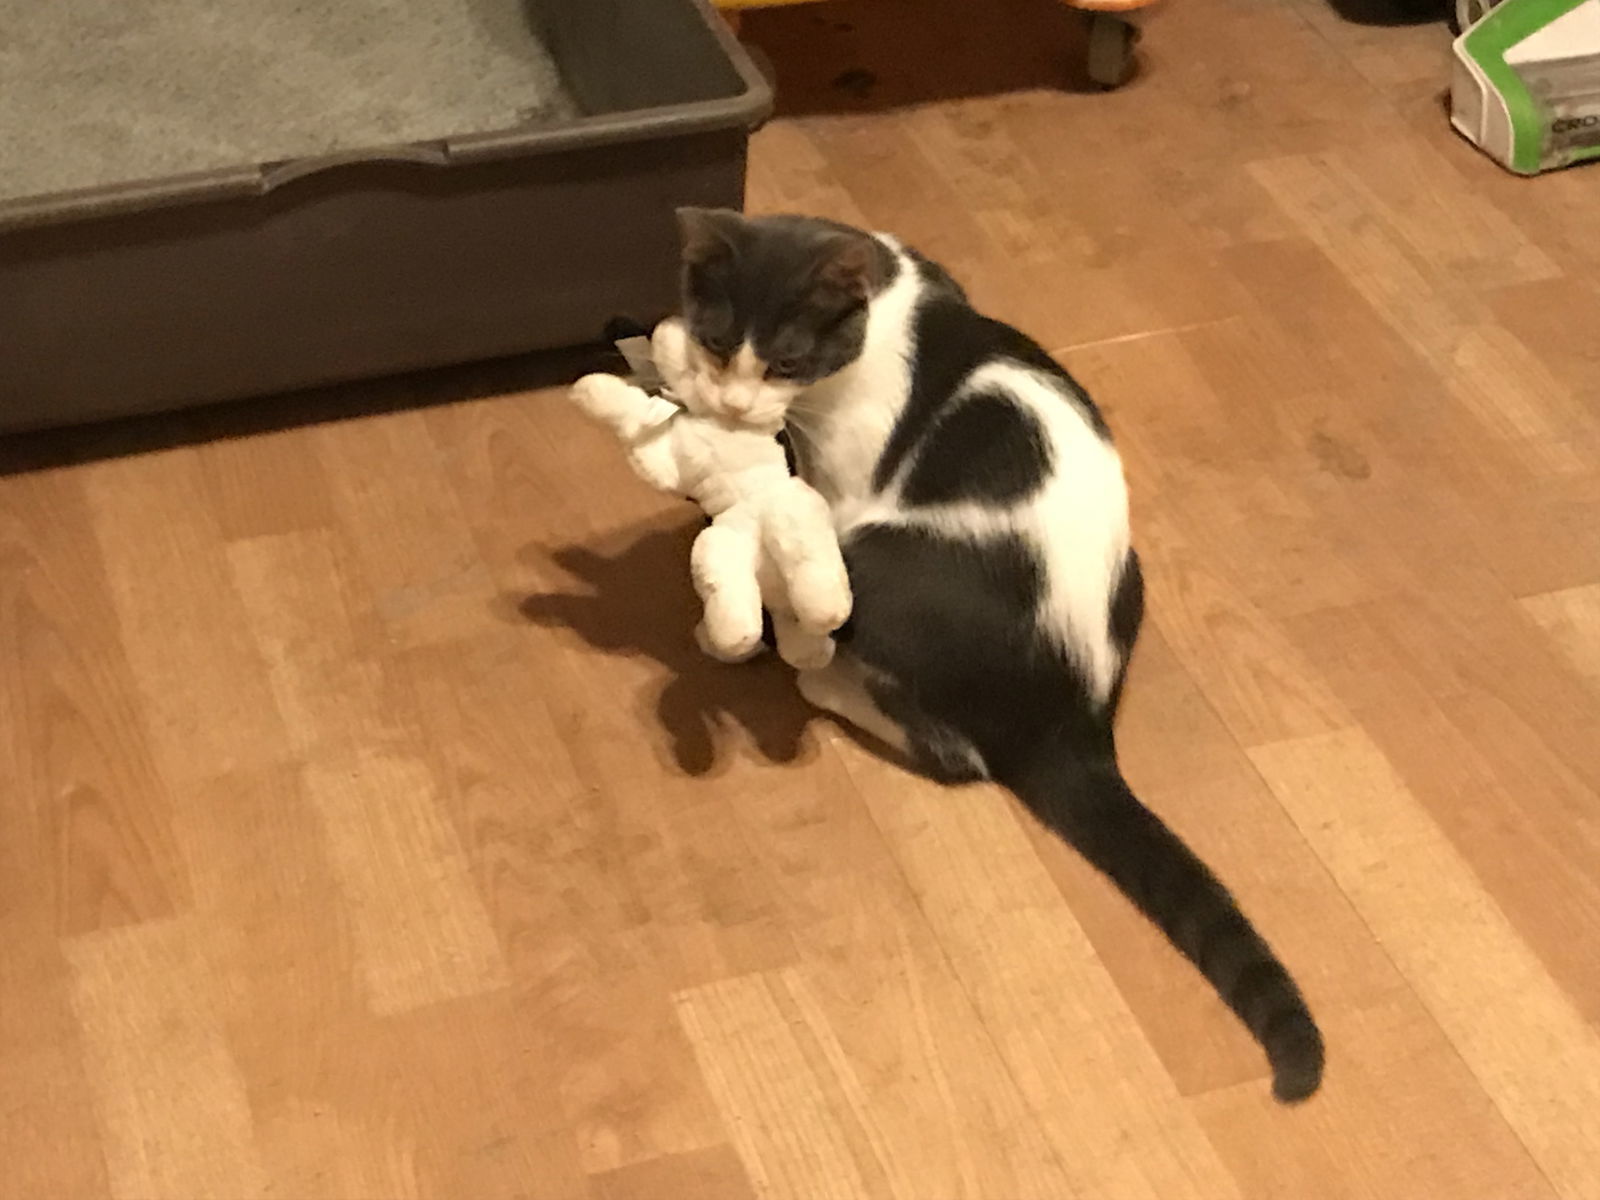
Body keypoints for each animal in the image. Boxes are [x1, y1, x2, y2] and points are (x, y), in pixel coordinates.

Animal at [668, 211, 1318, 1107]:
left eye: (788, 362)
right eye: (716, 339)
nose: (731, 404)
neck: (890, 300)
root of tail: (1074, 718)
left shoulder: (844, 480)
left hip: (888, 560)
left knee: (956, 752)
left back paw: (825, 678)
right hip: (1135, 573)